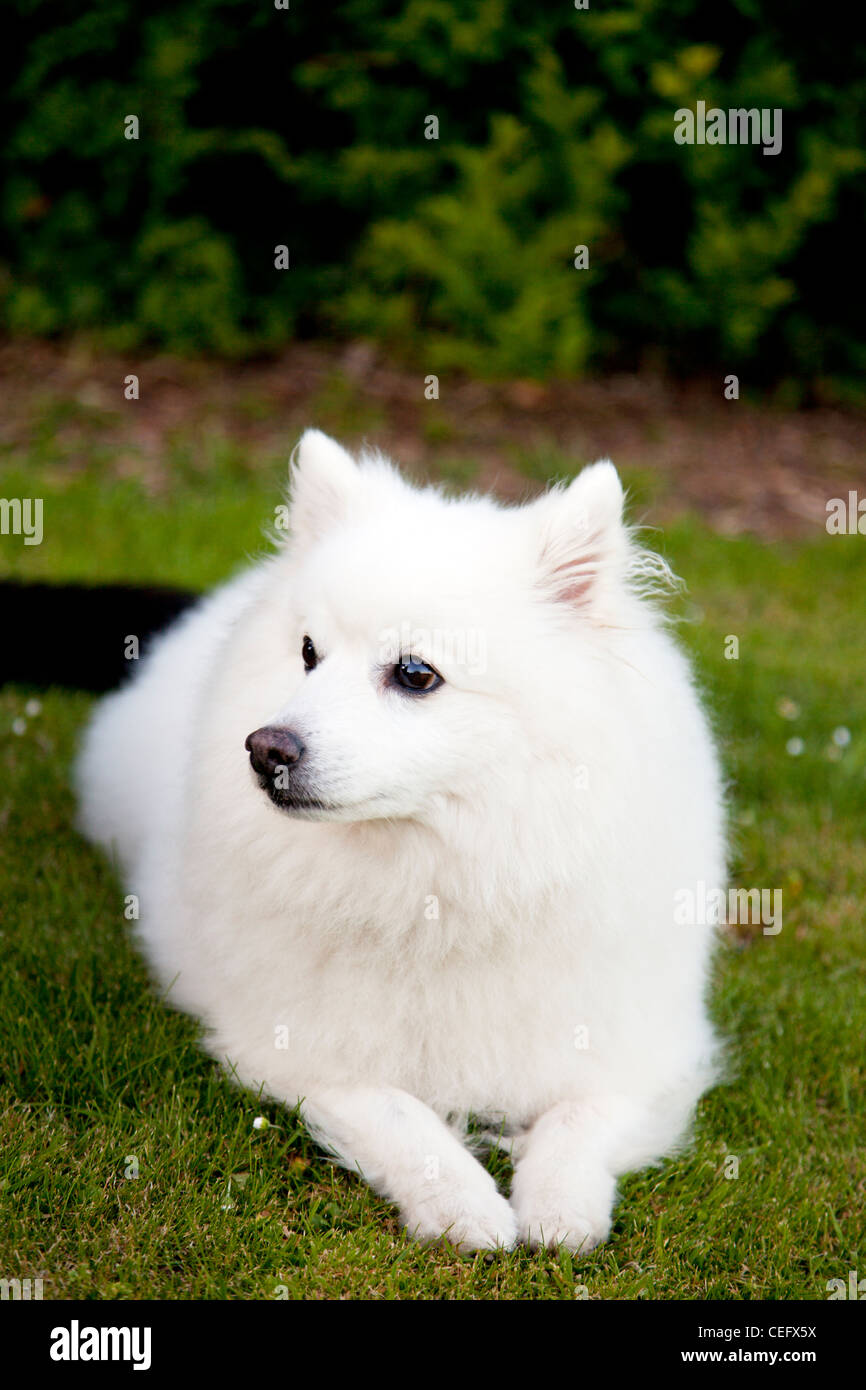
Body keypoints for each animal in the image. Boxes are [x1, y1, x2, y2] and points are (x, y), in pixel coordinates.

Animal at [74, 428, 728, 1256]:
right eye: (309, 653)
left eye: (416, 673)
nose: (265, 748)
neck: (439, 881)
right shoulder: (300, 1053)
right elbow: (401, 1117)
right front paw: (466, 1204)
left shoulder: (641, 1057)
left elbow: (579, 1118)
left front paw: (558, 1209)